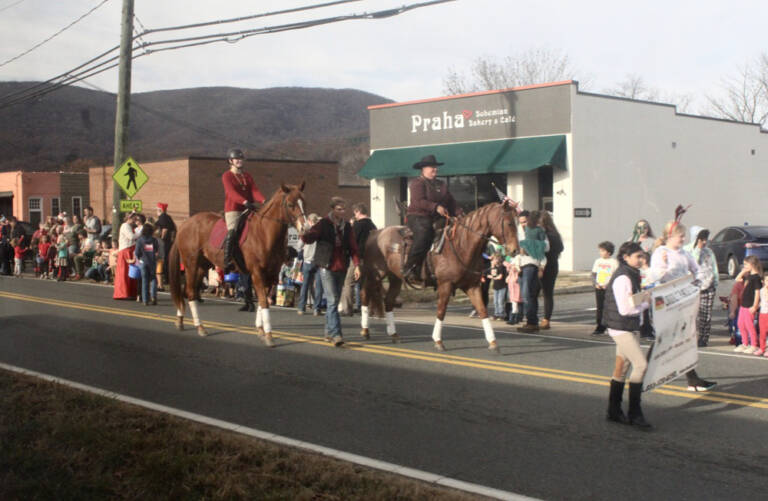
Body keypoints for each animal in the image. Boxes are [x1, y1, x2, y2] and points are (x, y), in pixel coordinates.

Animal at [170, 181, 308, 344]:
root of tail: (185, 224)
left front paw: (261, 330)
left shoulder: (271, 275)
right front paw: (269, 336)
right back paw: (200, 327)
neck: (264, 233)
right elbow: (264, 302)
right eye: (290, 204)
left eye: (304, 202)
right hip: (191, 265)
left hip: (201, 267)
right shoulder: (257, 273)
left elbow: (263, 302)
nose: (306, 228)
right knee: (191, 293)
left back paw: (180, 321)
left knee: (186, 292)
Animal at [358, 199, 516, 352]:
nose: (514, 250)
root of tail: (375, 232)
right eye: (509, 223)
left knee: (389, 301)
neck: (460, 246)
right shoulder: (445, 285)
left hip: (395, 278)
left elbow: (482, 310)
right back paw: (365, 330)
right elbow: (441, 311)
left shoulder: (472, 286)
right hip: (375, 274)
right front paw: (438, 341)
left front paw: (493, 342)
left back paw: (394, 334)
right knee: (365, 294)